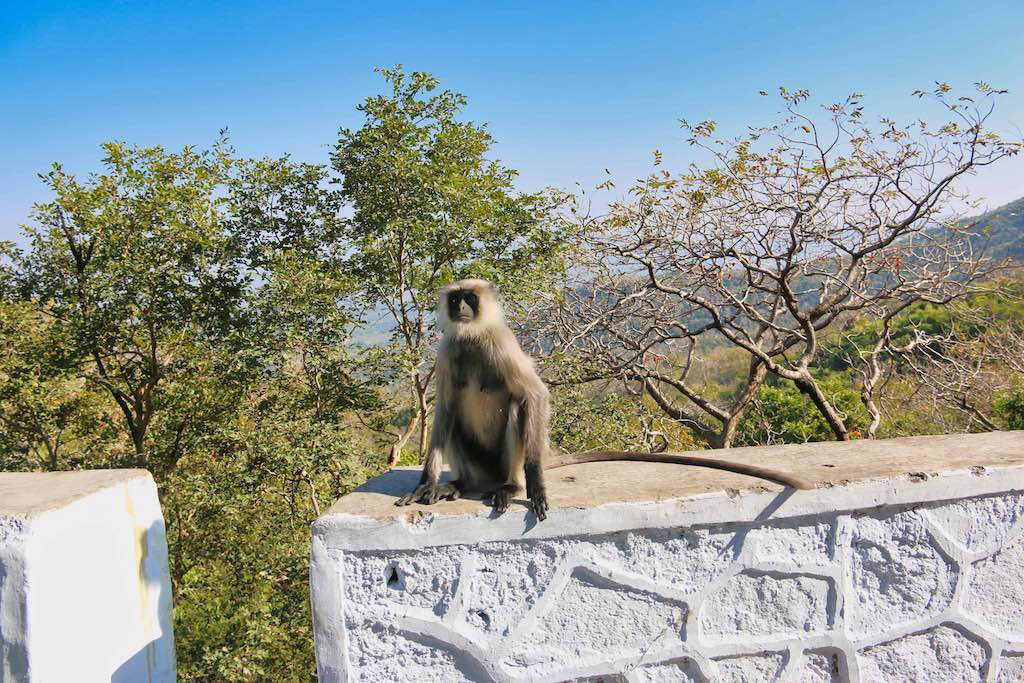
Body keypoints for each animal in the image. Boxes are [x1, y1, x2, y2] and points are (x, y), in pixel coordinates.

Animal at [395, 279, 810, 522]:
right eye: (455, 299)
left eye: (470, 298)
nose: (461, 309)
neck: (473, 338)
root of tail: (489, 476)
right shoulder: (449, 351)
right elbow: (445, 409)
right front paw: (426, 482)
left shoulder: (501, 343)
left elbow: (534, 395)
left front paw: (536, 485)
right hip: (480, 465)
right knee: (454, 421)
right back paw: (457, 484)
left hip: (503, 462)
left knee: (518, 406)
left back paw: (512, 486)